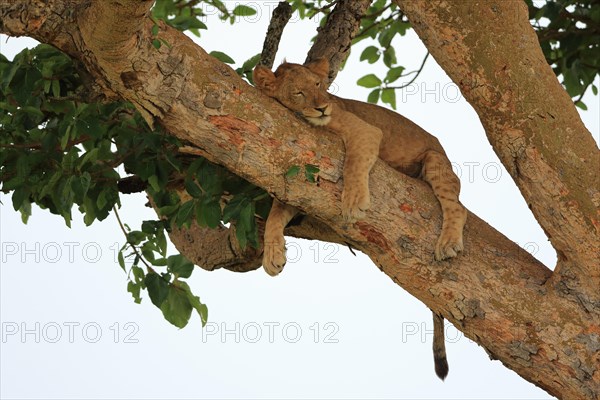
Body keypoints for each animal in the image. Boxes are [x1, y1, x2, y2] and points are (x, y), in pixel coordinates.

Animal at [251, 57, 466, 380]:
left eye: (318, 85)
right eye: (298, 93)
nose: (323, 107)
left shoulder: (365, 131)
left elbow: (353, 162)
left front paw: (353, 201)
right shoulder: (301, 187)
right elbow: (276, 214)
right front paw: (273, 256)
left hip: (435, 160)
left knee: (457, 207)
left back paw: (448, 242)